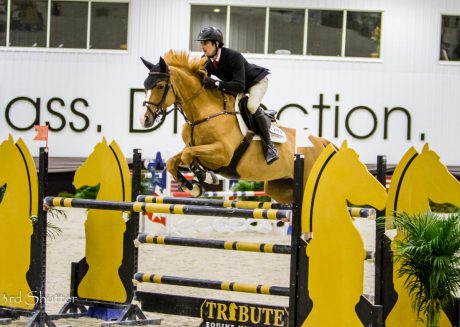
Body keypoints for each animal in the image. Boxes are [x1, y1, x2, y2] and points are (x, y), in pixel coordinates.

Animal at [140, 51, 330, 204]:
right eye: (145, 86)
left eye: (160, 86)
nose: (144, 120)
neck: (203, 113)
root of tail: (321, 143)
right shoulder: (196, 147)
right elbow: (173, 161)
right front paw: (193, 187)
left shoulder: (222, 153)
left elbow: (188, 155)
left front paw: (205, 176)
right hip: (279, 186)